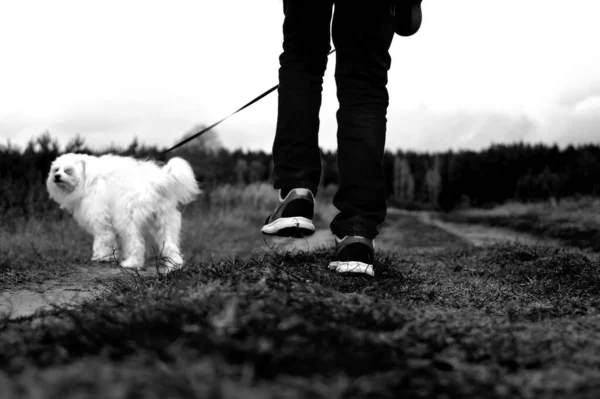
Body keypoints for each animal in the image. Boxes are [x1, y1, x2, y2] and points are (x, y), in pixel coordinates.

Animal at [46, 153, 202, 272]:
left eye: (68, 170)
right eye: (56, 169)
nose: (56, 176)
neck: (86, 178)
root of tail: (156, 183)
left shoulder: (100, 221)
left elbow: (103, 241)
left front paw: (101, 257)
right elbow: (118, 244)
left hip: (127, 221)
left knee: (137, 244)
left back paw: (132, 264)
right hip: (165, 223)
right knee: (170, 246)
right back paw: (173, 267)